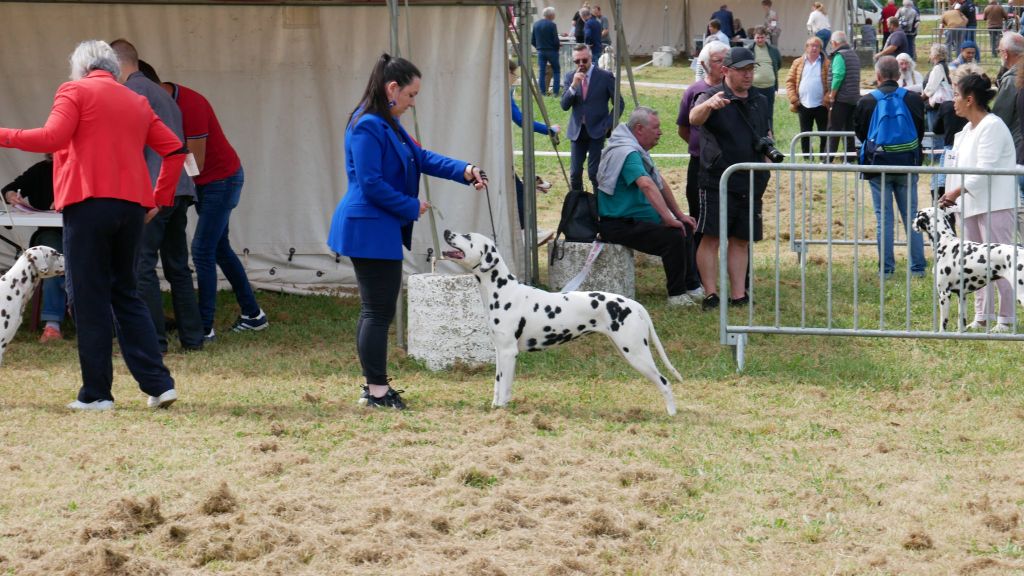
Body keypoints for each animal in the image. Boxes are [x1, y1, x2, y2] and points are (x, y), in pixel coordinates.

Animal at [442, 230, 680, 415]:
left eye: (467, 237)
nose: (446, 232)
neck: (502, 290)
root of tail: (634, 304)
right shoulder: (500, 351)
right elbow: (498, 385)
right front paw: (495, 407)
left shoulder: (509, 352)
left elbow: (505, 387)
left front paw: (501, 410)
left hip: (637, 354)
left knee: (664, 382)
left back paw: (671, 413)